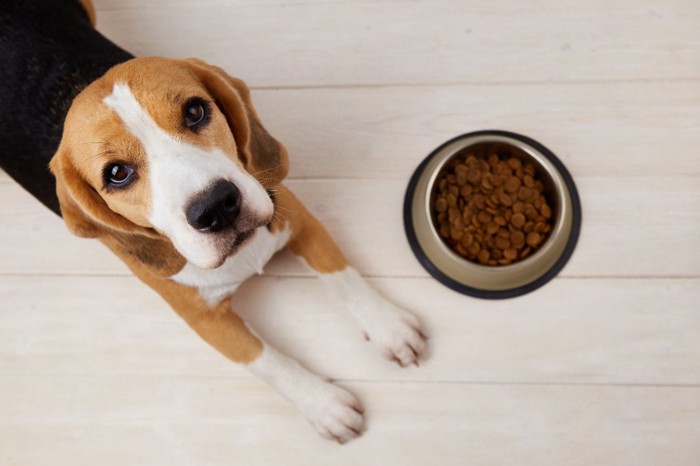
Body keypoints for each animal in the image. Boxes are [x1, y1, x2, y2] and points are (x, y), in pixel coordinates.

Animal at [2, 0, 426, 444]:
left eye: (195, 110)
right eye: (117, 173)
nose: (217, 206)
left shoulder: (295, 216)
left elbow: (342, 274)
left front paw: (387, 326)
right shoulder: (205, 320)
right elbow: (266, 360)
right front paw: (323, 404)